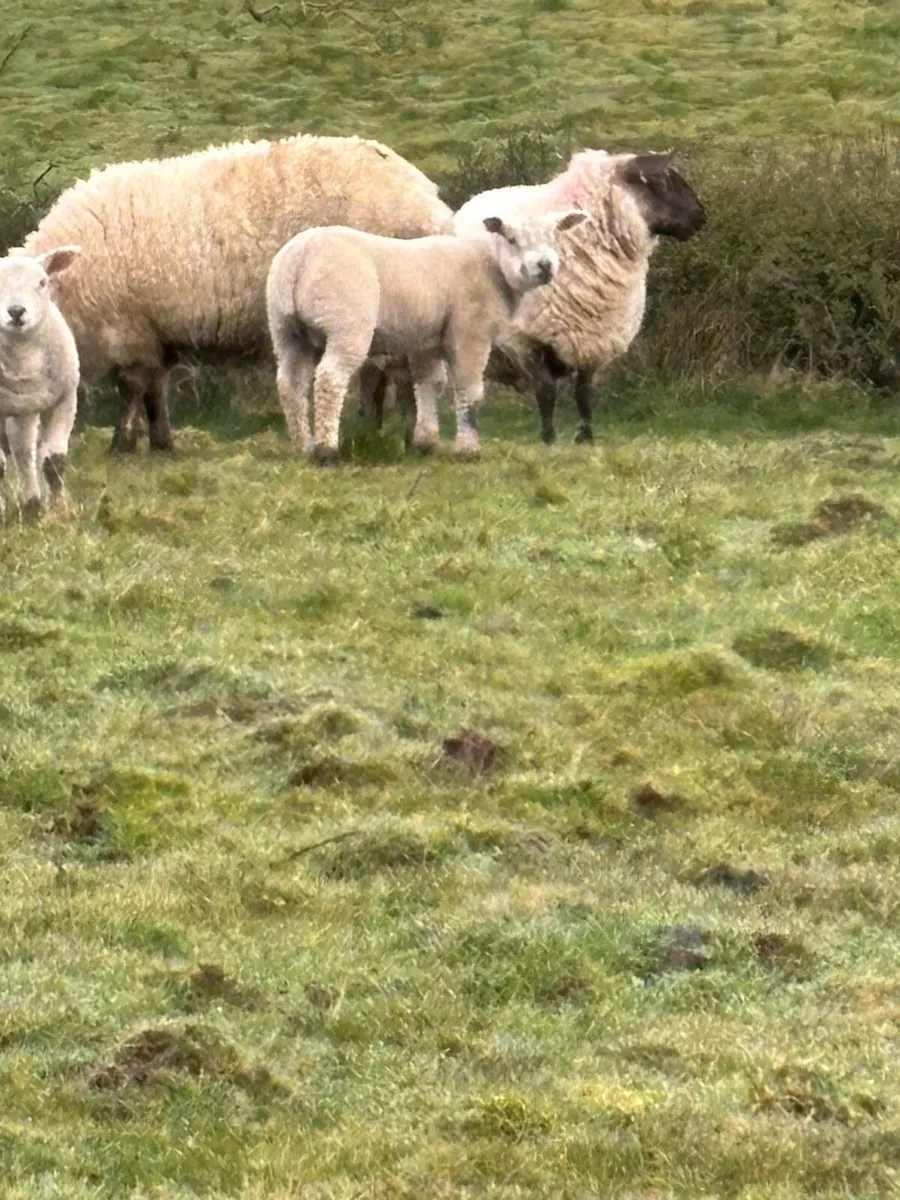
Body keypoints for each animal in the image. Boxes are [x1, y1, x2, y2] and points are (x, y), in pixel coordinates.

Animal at [0, 248, 81, 519]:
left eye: (42, 282)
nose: (16, 311)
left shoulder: (66, 400)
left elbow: (54, 462)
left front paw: (58, 512)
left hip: (25, 407)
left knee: (24, 451)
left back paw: (31, 501)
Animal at [16, 134, 454, 454]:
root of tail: (430, 200)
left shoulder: (128, 331)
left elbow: (134, 391)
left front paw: (122, 444)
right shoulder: (153, 333)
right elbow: (156, 391)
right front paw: (161, 443)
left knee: (399, 372)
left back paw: (402, 431)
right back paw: (377, 427)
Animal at [266, 209, 587, 463]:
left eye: (554, 237)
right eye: (511, 239)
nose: (544, 266)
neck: (491, 268)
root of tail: (300, 257)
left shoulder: (427, 340)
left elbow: (429, 383)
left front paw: (426, 442)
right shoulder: (470, 332)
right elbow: (468, 389)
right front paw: (468, 449)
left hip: (285, 329)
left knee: (290, 383)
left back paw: (303, 445)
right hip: (345, 322)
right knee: (330, 379)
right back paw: (326, 450)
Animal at [453, 149, 706, 444]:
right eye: (662, 181)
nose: (701, 216)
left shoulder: (594, 340)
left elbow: (585, 393)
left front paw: (586, 437)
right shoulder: (522, 340)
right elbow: (546, 390)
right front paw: (549, 439)